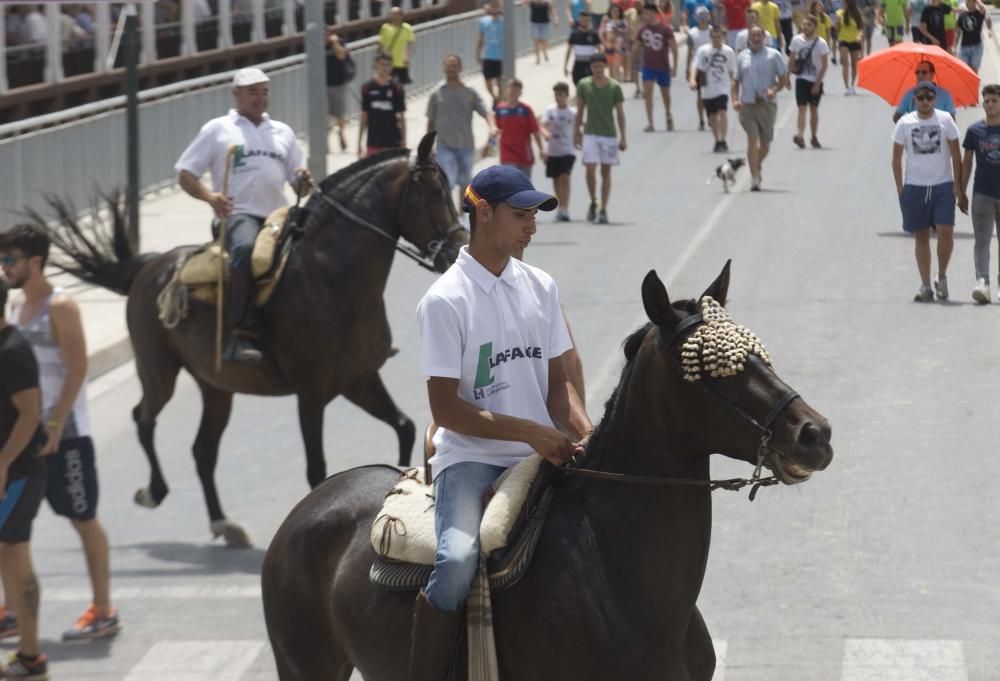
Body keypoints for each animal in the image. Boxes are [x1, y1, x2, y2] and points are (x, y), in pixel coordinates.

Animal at [34, 131, 464, 548]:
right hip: (158, 372)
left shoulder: (359, 380)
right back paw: (154, 491)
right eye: (433, 192)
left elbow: (404, 426)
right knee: (143, 417)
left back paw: (224, 524)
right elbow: (317, 469)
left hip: (216, 388)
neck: (330, 277)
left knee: (203, 451)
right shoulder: (311, 394)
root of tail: (149, 266)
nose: (458, 249)